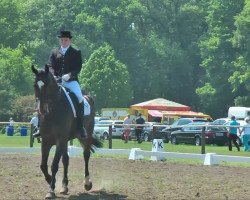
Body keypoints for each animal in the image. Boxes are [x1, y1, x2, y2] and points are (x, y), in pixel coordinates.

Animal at [31, 65, 102, 198]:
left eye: (47, 85)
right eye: (34, 85)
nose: (41, 110)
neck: (53, 111)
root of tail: (88, 97)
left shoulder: (60, 139)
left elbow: (54, 165)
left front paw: (51, 189)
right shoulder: (46, 140)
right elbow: (43, 165)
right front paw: (51, 180)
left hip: (86, 135)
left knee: (86, 155)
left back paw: (87, 183)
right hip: (67, 140)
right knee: (66, 160)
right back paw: (64, 186)